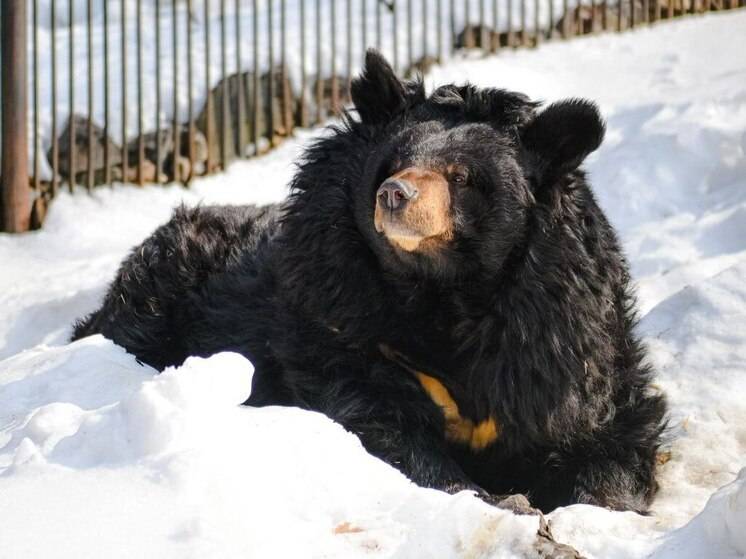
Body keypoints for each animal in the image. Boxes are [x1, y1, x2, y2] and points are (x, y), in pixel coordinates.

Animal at [75, 50, 664, 516]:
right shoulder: (339, 314)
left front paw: (595, 501)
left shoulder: (556, 331)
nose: (395, 195)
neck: (441, 291)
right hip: (157, 302)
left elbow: (607, 428)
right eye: (395, 162)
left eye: (462, 177)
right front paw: (495, 499)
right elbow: (379, 418)